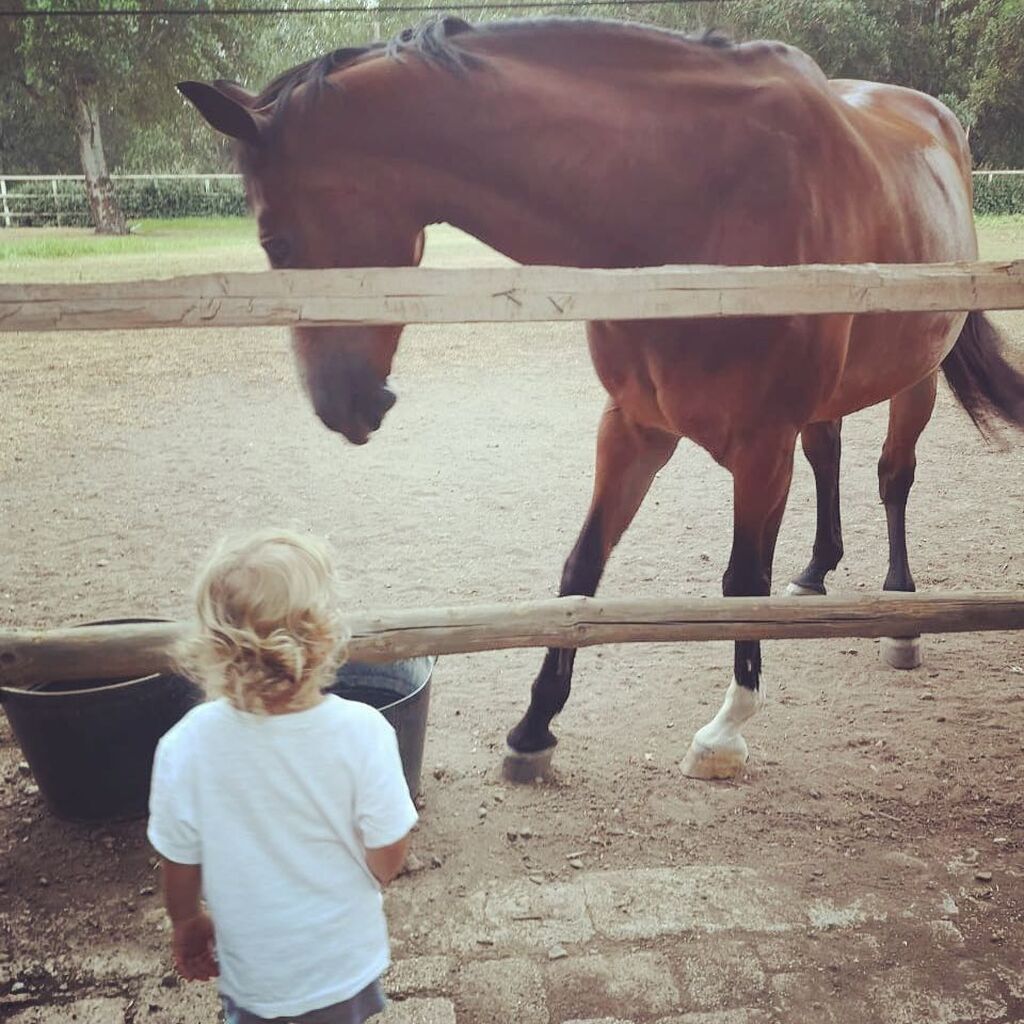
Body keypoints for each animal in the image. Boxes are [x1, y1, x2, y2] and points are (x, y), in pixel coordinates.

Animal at [178, 16, 1024, 778]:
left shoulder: (761, 444)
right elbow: (581, 570)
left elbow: (740, 582)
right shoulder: (634, 429)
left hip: (913, 380)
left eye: (276, 242)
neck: (698, 205)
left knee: (893, 478)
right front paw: (534, 726)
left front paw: (726, 730)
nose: (343, 407)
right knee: (830, 454)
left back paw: (901, 614)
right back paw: (816, 573)